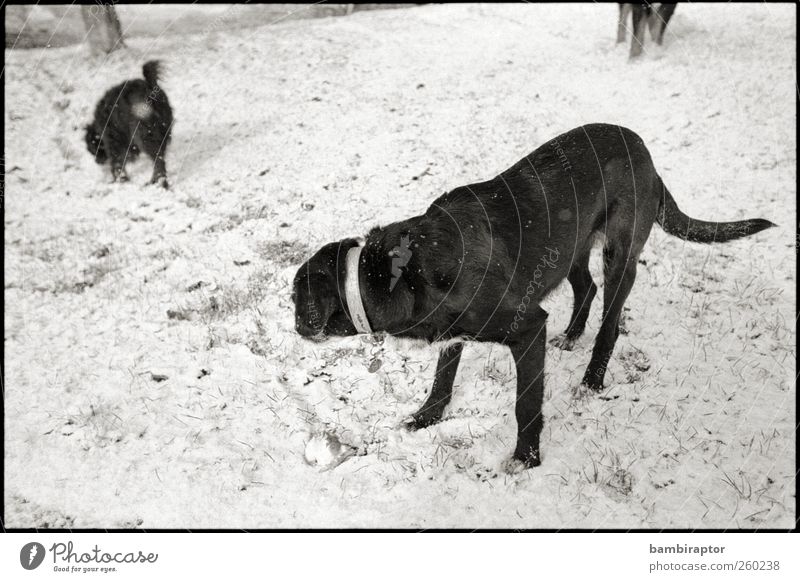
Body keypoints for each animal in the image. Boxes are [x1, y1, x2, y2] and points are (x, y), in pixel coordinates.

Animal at [294, 123, 776, 470]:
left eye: (297, 301)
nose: (296, 327)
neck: (403, 268)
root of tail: (647, 154)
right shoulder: (453, 333)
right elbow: (442, 378)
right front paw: (426, 417)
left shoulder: (527, 328)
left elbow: (525, 404)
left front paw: (526, 459)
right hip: (567, 246)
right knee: (586, 287)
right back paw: (573, 335)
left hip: (620, 254)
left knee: (610, 321)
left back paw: (592, 378)